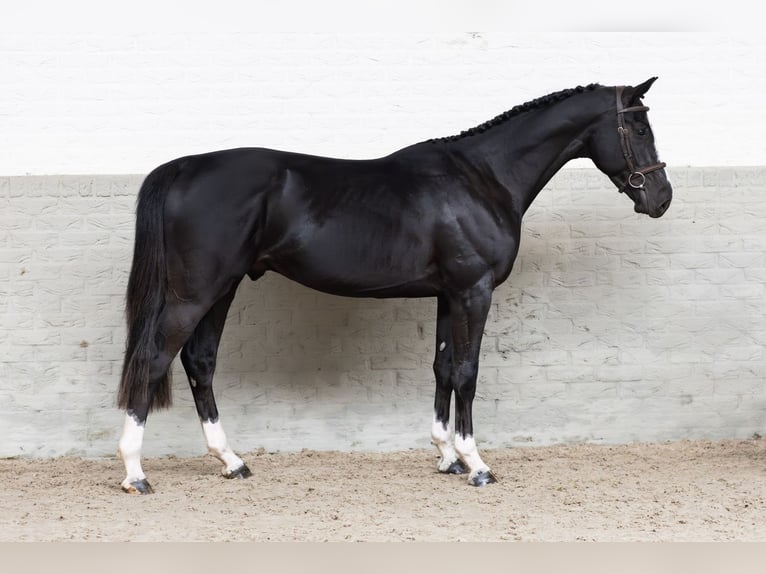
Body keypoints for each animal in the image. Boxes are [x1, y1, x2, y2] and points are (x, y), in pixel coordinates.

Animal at [116, 78, 672, 493]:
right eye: (637, 124)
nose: (660, 198)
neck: (482, 178)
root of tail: (182, 167)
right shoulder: (474, 291)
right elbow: (468, 372)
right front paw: (476, 464)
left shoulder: (449, 295)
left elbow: (443, 369)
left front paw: (447, 457)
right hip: (196, 293)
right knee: (155, 358)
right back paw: (136, 473)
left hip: (222, 288)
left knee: (199, 361)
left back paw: (231, 461)